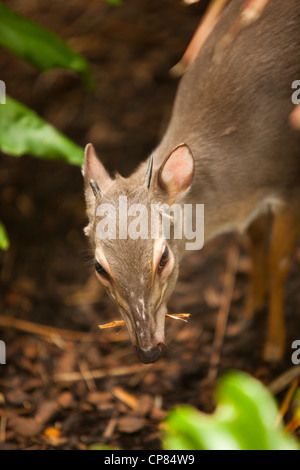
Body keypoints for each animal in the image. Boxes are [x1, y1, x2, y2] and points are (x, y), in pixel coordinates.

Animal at [83, 0, 300, 364]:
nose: (148, 351)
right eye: (100, 267)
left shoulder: (288, 183)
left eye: (164, 258)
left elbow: (280, 261)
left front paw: (273, 346)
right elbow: (255, 238)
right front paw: (249, 312)